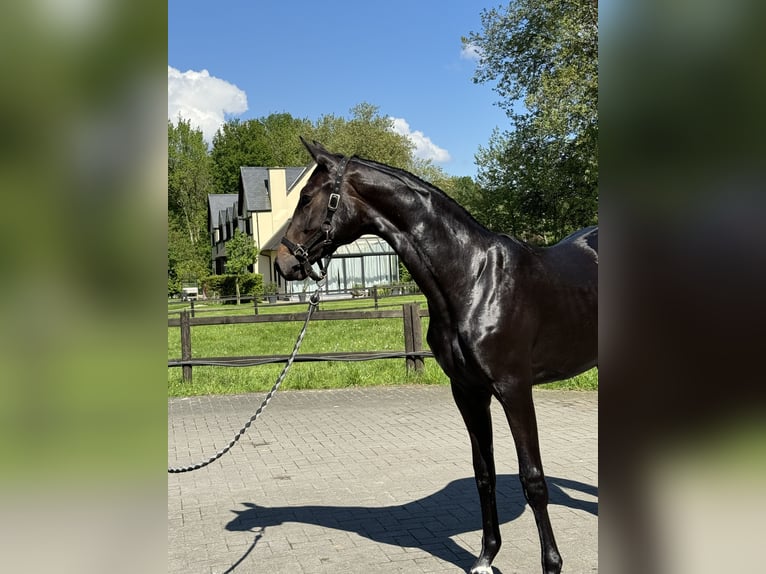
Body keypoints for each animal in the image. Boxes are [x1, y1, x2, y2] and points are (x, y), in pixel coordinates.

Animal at [275, 138, 598, 574]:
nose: (283, 261)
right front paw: (485, 557)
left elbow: (533, 480)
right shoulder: (468, 392)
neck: (473, 278)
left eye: (307, 197)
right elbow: (483, 473)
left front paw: (551, 564)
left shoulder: (514, 389)